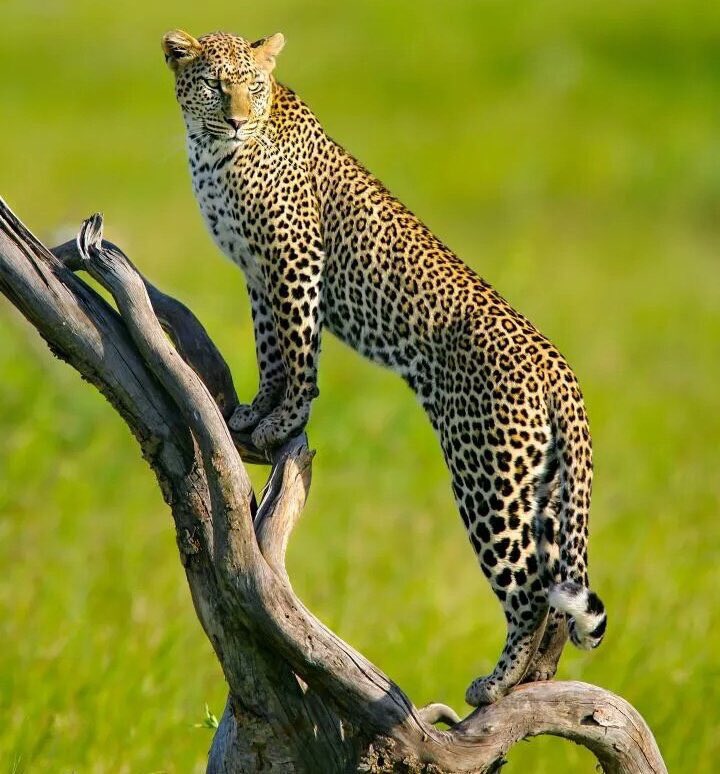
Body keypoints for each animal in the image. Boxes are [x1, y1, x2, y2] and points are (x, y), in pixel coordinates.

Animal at [162, 28, 607, 706]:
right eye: (215, 84)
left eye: (254, 86)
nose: (238, 118)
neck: (213, 151)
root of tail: (560, 367)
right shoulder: (258, 274)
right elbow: (270, 349)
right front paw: (258, 412)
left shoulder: (294, 260)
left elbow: (298, 349)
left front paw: (283, 420)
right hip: (542, 484)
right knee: (554, 590)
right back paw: (533, 678)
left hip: (489, 476)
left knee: (530, 593)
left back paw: (497, 684)